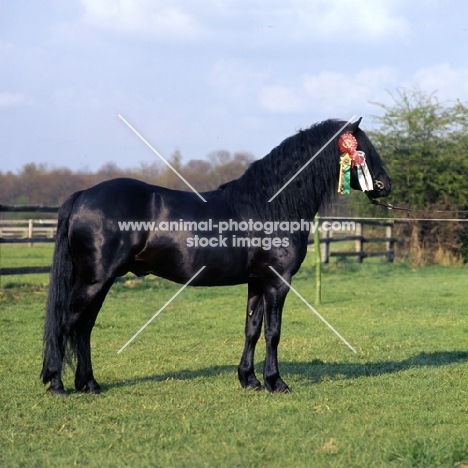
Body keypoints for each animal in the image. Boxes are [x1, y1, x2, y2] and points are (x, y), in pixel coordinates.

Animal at [40, 118, 392, 394]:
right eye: (364, 148)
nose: (384, 185)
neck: (270, 206)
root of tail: (83, 196)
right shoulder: (277, 282)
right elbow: (273, 333)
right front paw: (275, 382)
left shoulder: (257, 282)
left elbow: (252, 329)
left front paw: (249, 380)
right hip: (94, 280)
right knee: (66, 323)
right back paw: (57, 383)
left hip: (100, 280)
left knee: (83, 327)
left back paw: (89, 383)